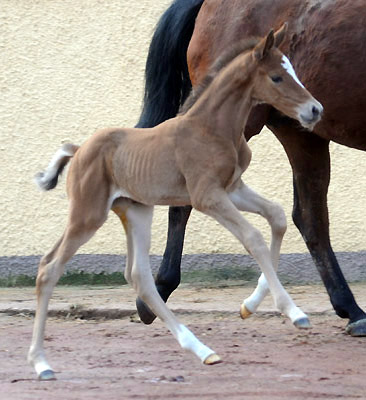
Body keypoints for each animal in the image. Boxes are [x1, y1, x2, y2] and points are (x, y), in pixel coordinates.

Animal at [28, 26, 322, 380]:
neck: (211, 128)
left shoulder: (233, 189)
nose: (315, 110)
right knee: (49, 268)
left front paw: (249, 306)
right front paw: (293, 311)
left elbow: (277, 216)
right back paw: (41, 363)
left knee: (139, 276)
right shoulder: (208, 196)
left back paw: (203, 350)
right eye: (277, 77)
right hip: (87, 214)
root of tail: (79, 150)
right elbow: (253, 237)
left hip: (136, 211)